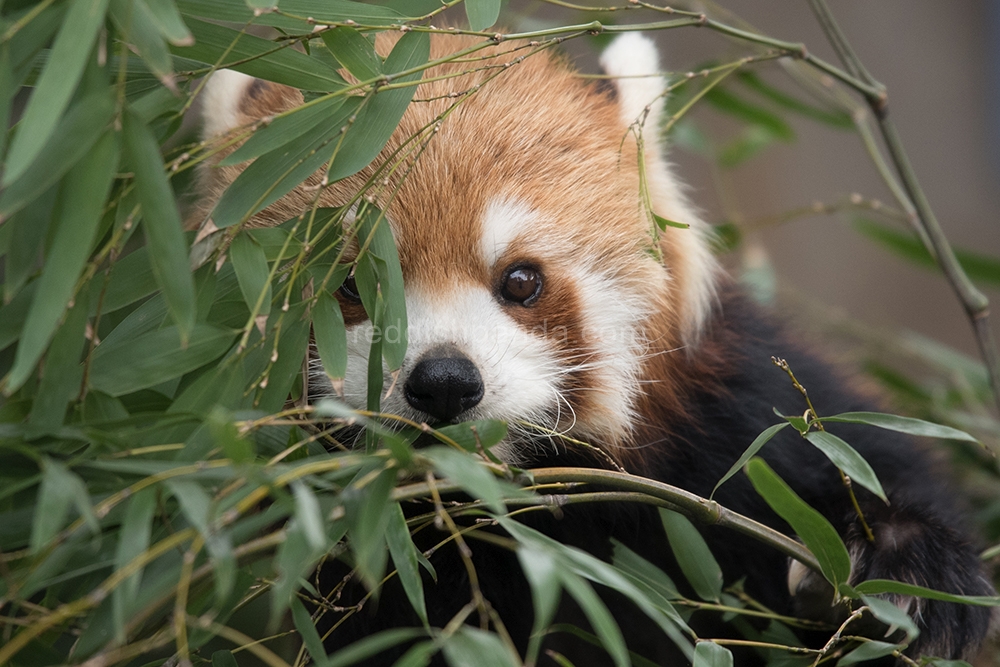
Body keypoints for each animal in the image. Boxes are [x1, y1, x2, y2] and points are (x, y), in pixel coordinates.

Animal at [195, 30, 992, 664]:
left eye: (521, 280)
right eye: (353, 283)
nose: (446, 381)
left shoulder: (729, 413)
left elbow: (850, 449)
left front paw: (907, 567)